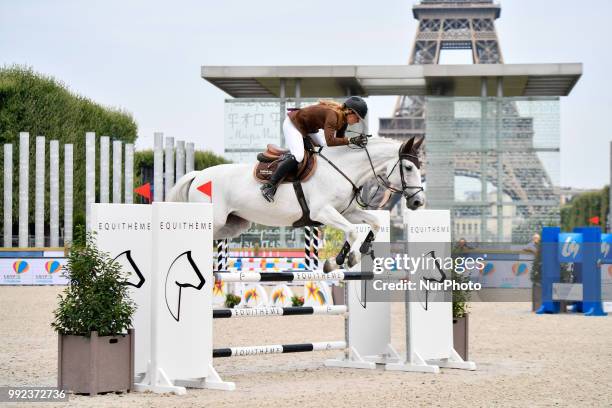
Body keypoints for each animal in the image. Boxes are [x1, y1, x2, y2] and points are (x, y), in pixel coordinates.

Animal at [167, 136, 426, 270]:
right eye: (408, 167)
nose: (418, 202)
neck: (344, 168)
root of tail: (198, 175)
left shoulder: (347, 211)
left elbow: (373, 223)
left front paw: (358, 253)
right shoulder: (322, 212)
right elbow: (352, 231)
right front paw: (336, 261)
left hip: (234, 225)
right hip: (214, 219)